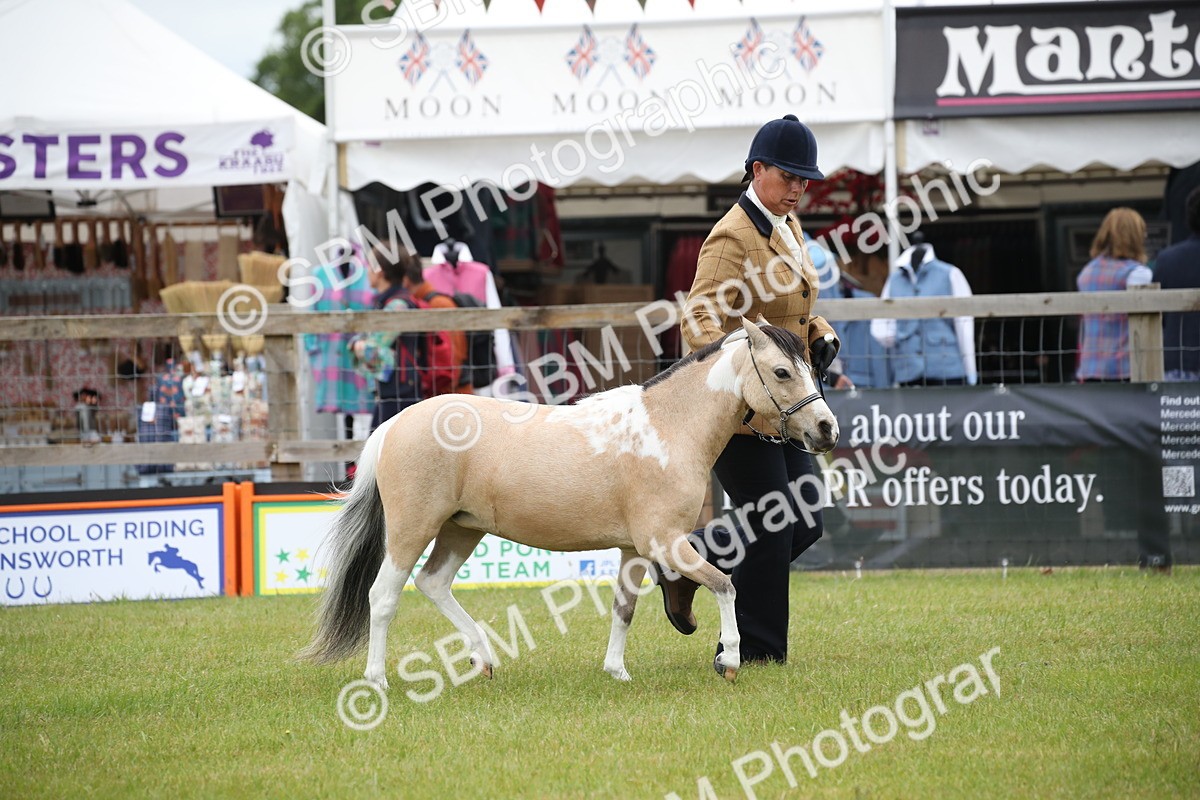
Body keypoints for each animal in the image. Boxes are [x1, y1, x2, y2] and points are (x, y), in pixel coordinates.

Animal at [302, 317, 839, 687]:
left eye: (812, 367)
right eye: (782, 372)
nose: (826, 430)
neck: (667, 427)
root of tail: (396, 423)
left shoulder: (635, 549)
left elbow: (624, 608)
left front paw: (617, 671)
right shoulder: (664, 542)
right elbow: (725, 584)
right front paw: (729, 660)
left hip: (462, 529)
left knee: (433, 584)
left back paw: (484, 660)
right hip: (413, 528)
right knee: (384, 596)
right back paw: (377, 680)